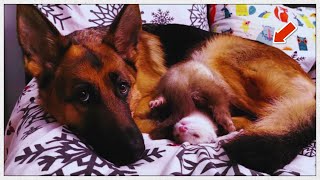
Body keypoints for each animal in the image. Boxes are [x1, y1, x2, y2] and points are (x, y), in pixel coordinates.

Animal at [17, 4, 316, 173]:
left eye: (123, 87)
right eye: (83, 95)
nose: (136, 152)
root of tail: (310, 87)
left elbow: (142, 113)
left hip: (212, 53)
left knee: (256, 116)